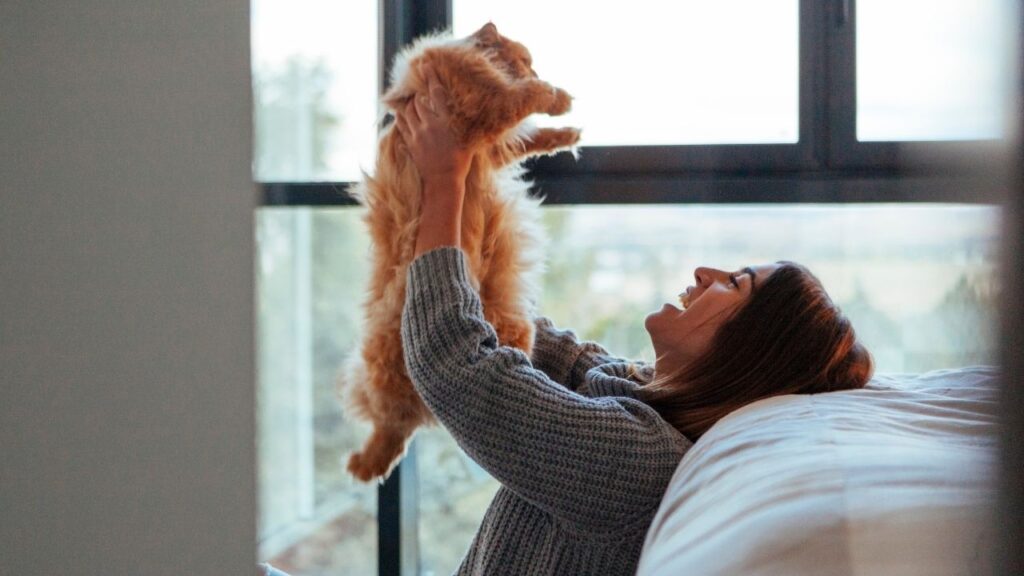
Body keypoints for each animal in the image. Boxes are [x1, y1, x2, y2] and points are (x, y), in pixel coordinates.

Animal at [342, 22, 581, 479]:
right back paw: (367, 464)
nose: (533, 67)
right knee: (390, 424)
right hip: (387, 368)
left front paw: (568, 133)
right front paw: (558, 98)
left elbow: (532, 137)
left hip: (513, 331)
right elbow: (526, 100)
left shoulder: (489, 140)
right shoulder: (482, 112)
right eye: (526, 59)